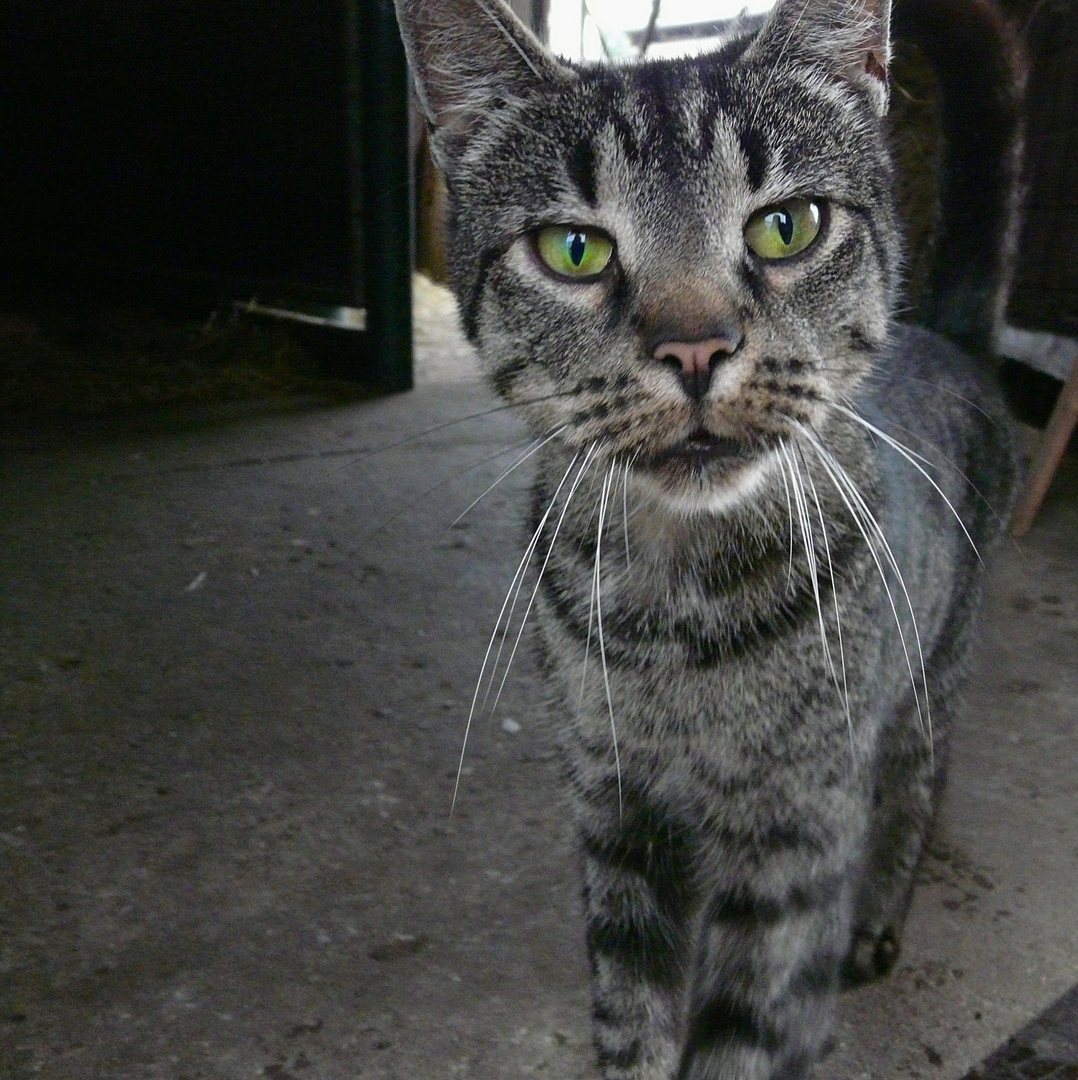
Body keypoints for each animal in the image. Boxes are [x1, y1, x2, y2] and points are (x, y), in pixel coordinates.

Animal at [395, 2, 1019, 1080]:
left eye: (786, 225)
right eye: (573, 249)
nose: (695, 346)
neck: (675, 611)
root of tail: (948, 338)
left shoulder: (792, 844)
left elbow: (745, 1038)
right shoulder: (612, 814)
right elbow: (631, 1013)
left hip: (933, 669)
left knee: (918, 787)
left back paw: (879, 921)